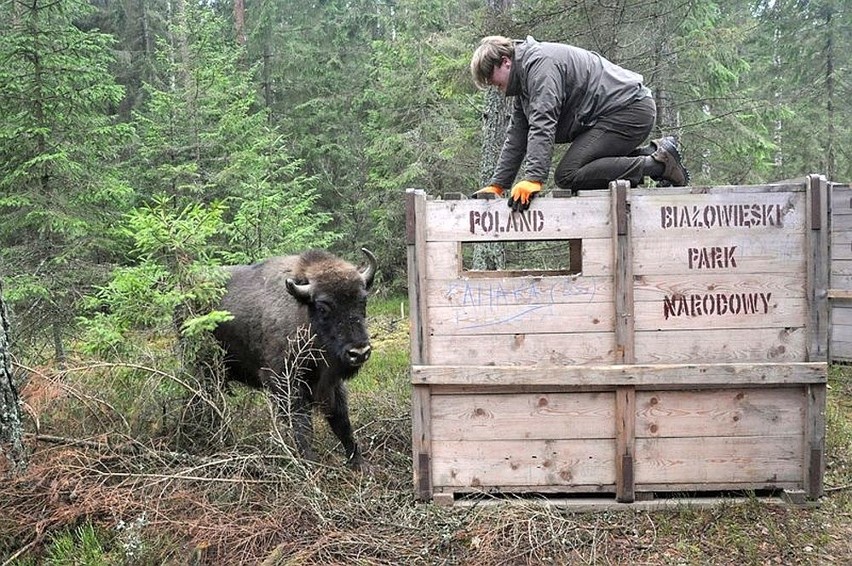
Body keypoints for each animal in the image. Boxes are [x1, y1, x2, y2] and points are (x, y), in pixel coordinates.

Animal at [213, 248, 376, 470]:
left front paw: (359, 463)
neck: (304, 314)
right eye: (323, 307)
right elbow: (302, 425)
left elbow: (342, 422)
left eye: (363, 301)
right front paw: (310, 463)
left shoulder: (332, 385)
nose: (359, 352)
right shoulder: (287, 384)